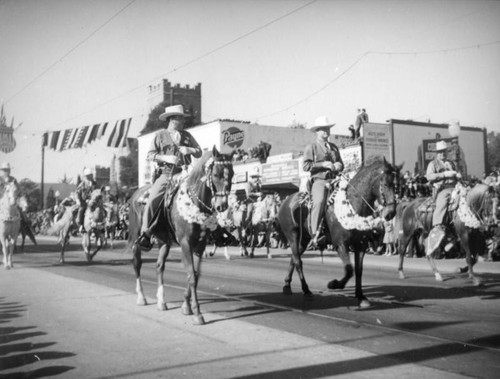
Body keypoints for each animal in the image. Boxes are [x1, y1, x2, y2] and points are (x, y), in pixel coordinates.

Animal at [132, 147, 235, 326]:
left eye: (233, 174)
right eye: (216, 174)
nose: (222, 206)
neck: (195, 202)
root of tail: (135, 194)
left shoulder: (200, 244)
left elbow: (195, 274)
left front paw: (186, 306)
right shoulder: (186, 243)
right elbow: (191, 275)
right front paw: (197, 314)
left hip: (164, 242)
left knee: (159, 266)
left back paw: (161, 302)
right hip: (137, 238)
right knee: (137, 264)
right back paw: (141, 297)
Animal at [276, 157, 400, 308]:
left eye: (395, 185)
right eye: (386, 184)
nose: (391, 213)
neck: (352, 203)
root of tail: (285, 201)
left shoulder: (361, 245)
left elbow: (358, 270)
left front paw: (361, 297)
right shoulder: (340, 244)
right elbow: (349, 270)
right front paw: (334, 284)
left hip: (304, 239)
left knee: (294, 258)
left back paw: (287, 285)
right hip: (292, 236)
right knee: (298, 261)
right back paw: (306, 291)